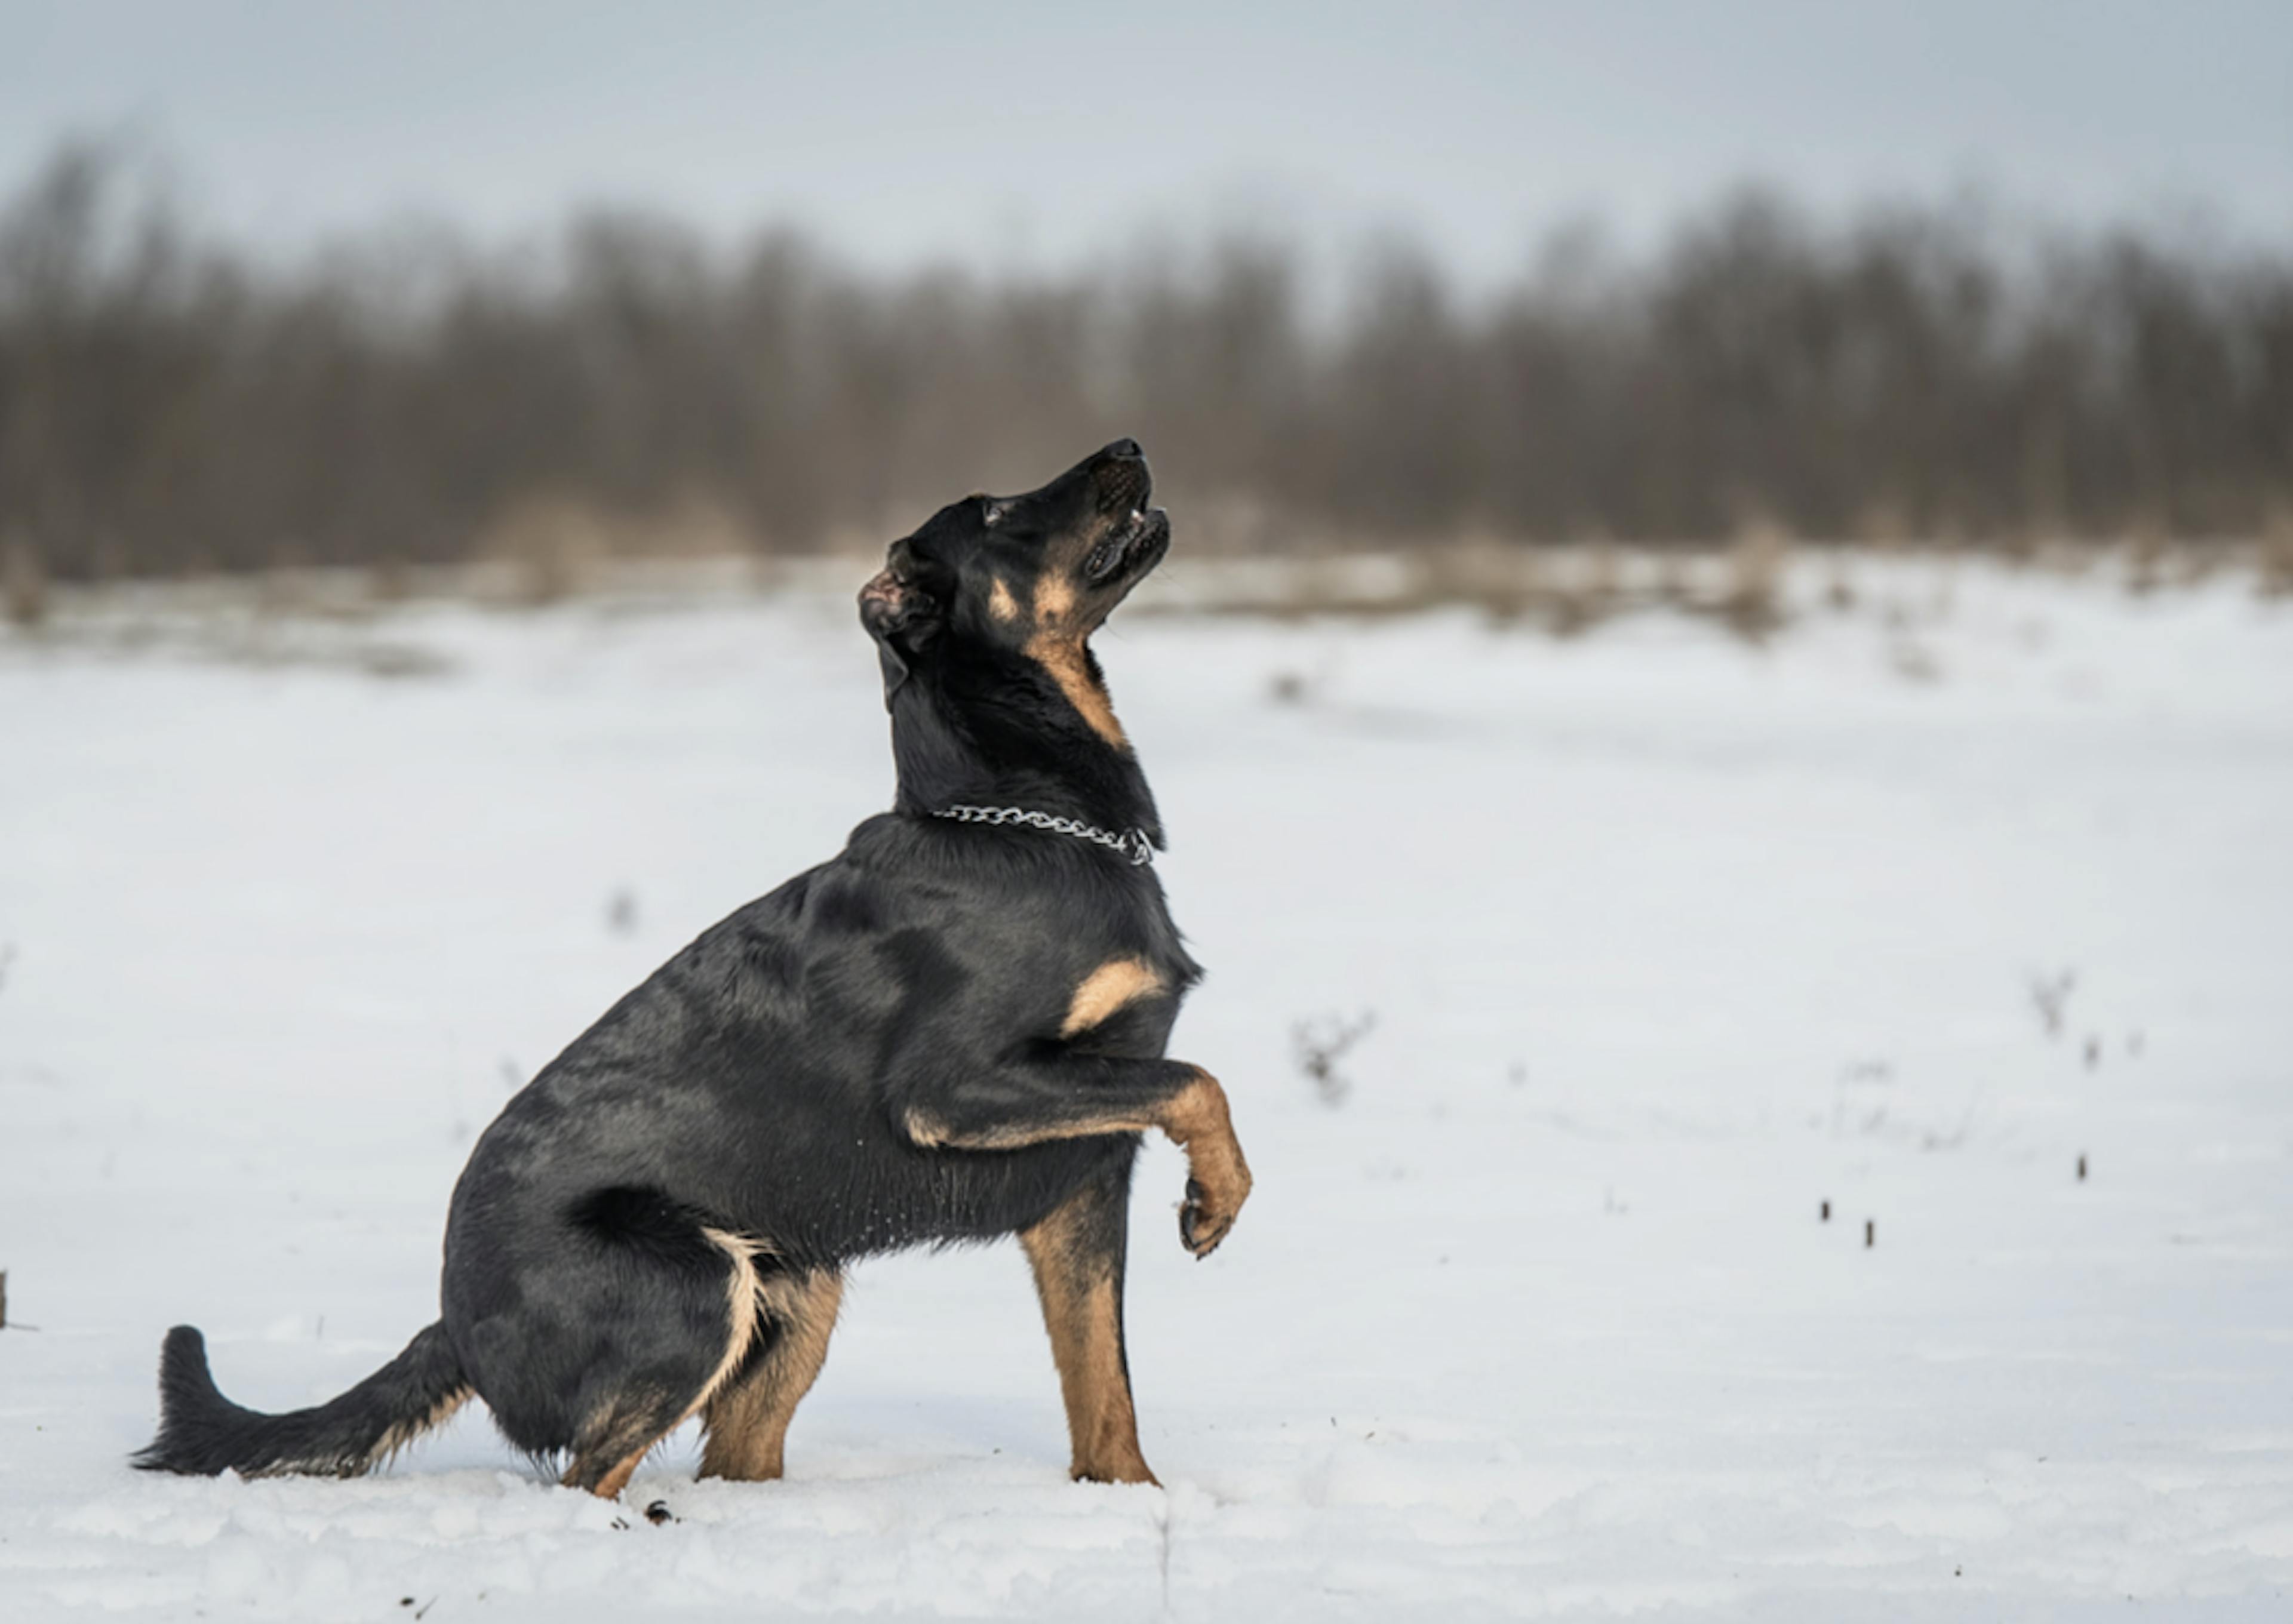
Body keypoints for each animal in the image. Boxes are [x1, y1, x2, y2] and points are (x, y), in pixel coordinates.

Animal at [134, 440, 1256, 1495]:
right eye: (994, 512)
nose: (1128, 447)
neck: (1024, 818)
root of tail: (453, 1321)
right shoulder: (959, 1086)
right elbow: (1198, 1082)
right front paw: (1217, 1203)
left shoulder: (1083, 1184)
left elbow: (1105, 1393)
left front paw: (1135, 1500)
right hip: (697, 1288)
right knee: (587, 1478)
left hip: (796, 1294)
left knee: (726, 1461)